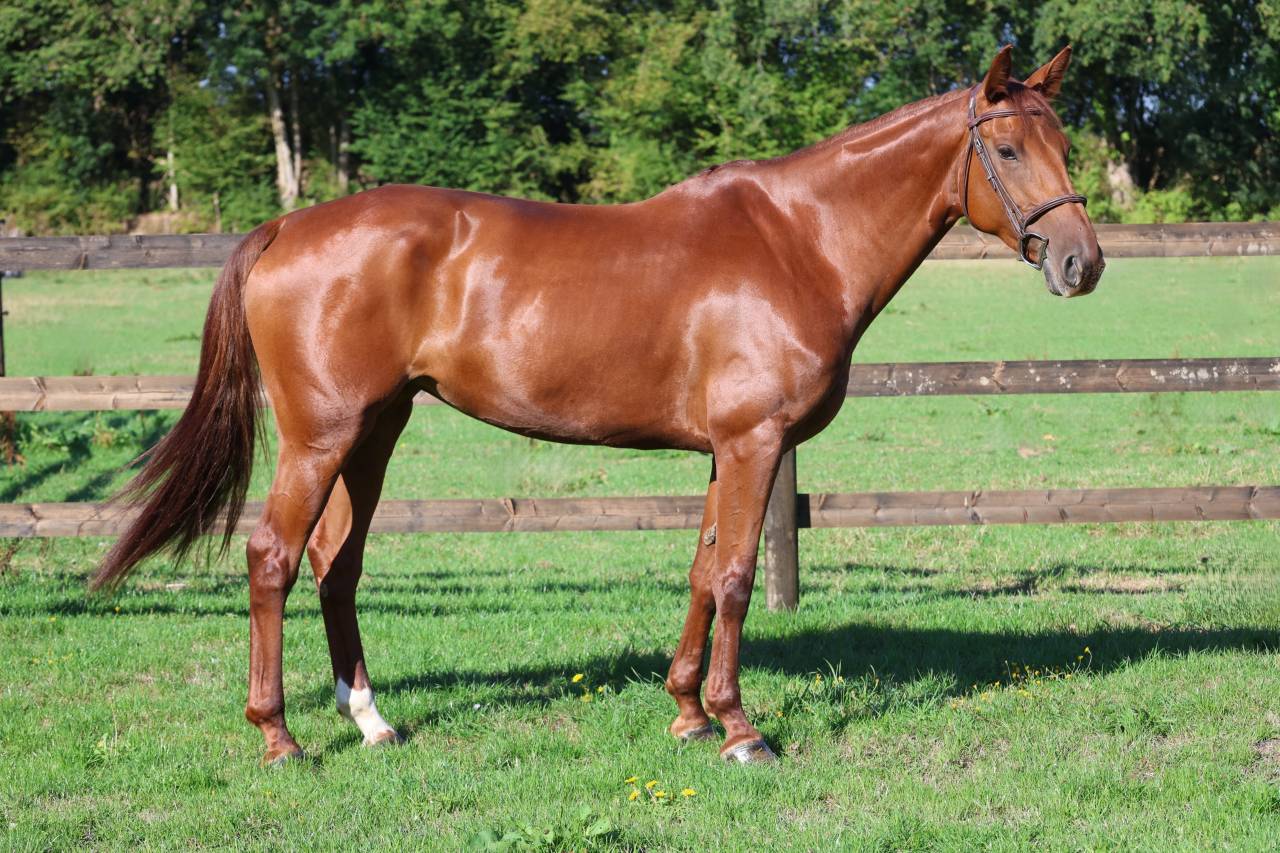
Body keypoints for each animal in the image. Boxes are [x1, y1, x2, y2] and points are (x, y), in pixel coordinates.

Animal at [93, 45, 1104, 766]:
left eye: (1064, 145)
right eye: (1006, 148)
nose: (1081, 263)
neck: (798, 240)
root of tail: (286, 225)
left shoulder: (724, 450)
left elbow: (701, 573)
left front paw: (689, 714)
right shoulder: (755, 442)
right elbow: (738, 577)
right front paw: (742, 730)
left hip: (373, 433)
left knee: (335, 564)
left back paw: (372, 720)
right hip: (320, 436)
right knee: (271, 556)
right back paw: (279, 736)